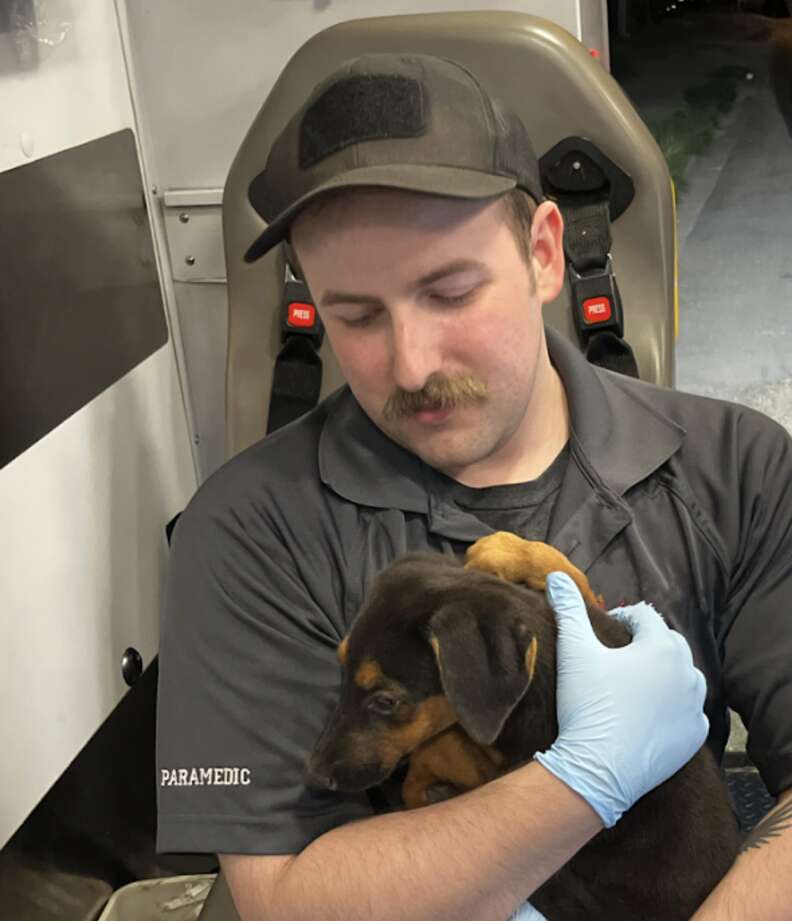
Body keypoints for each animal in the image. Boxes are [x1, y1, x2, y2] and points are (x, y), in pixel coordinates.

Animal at [306, 532, 740, 920]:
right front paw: (499, 551)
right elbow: (574, 582)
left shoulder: (508, 754)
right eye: (341, 667)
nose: (316, 775)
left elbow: (442, 750)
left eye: (386, 701)